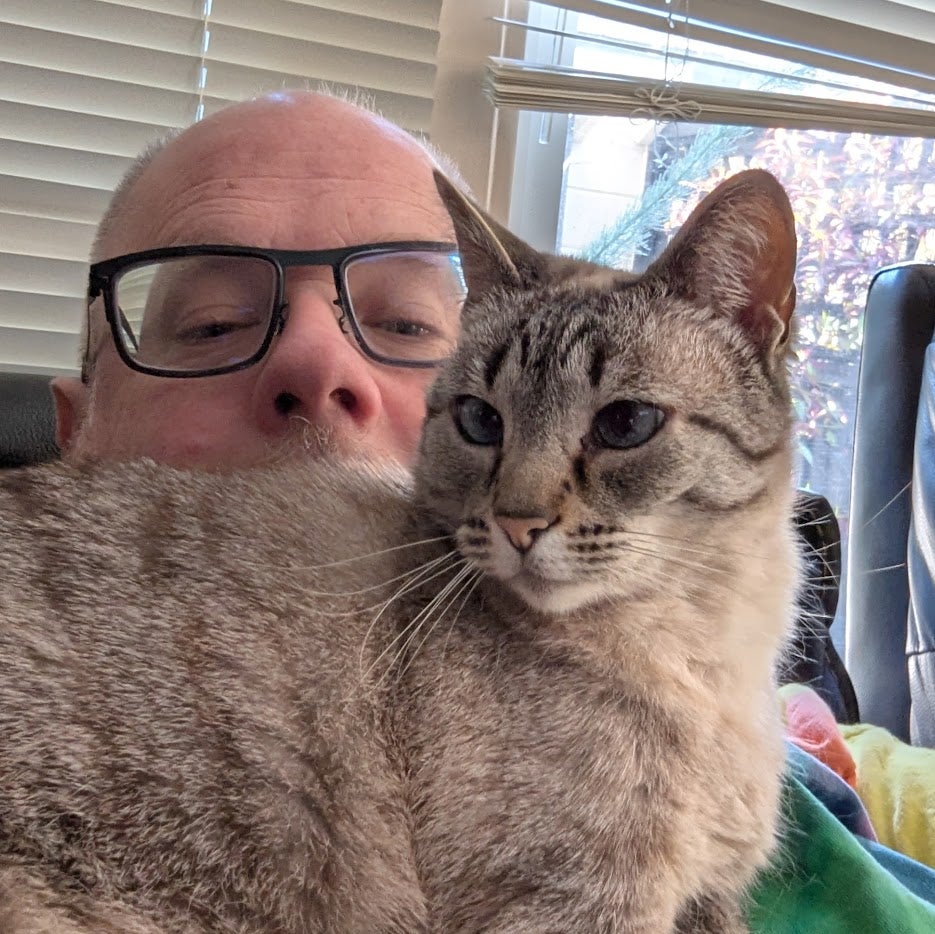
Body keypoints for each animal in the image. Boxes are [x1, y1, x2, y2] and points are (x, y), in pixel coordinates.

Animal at [0, 168, 800, 933]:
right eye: (481, 421)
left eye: (626, 423)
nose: (517, 523)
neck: (710, 656)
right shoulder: (578, 904)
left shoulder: (708, 899)